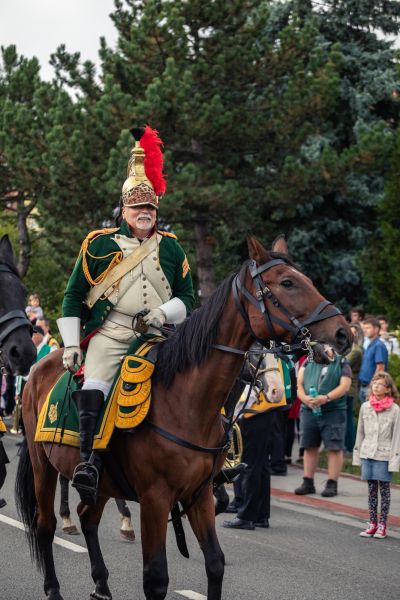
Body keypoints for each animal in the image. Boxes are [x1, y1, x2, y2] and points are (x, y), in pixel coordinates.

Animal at [16, 235, 352, 600]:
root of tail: (39, 368)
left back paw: (102, 584)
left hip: (103, 481)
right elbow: (156, 577)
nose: (343, 334)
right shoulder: (155, 499)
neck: (188, 403)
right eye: (288, 282)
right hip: (43, 465)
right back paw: (53, 587)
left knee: (87, 516)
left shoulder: (199, 494)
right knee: (45, 524)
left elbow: (215, 562)